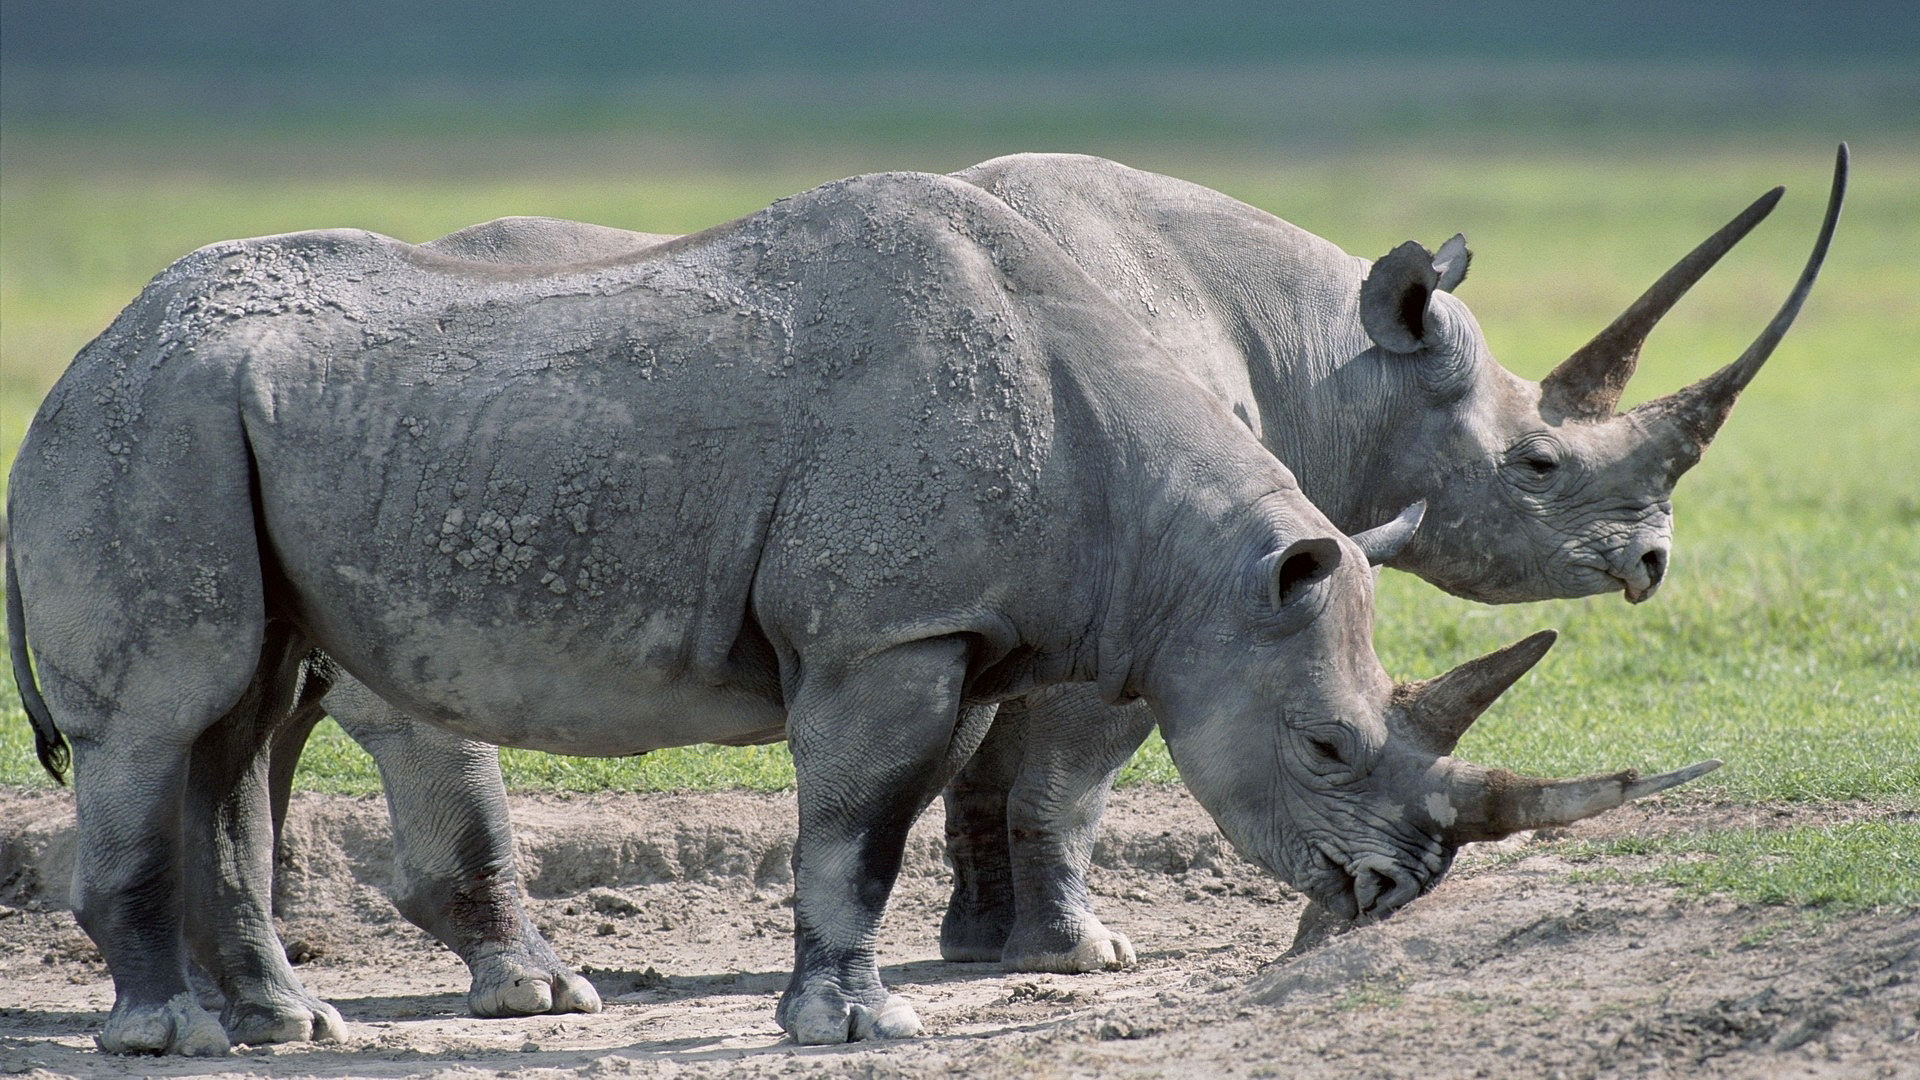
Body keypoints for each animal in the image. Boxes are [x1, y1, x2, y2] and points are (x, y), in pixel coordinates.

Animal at [0, 170, 1712, 1053]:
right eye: (1329, 750)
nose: (1395, 888)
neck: (1178, 544)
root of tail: (83, 353)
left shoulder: (956, 626)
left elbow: (899, 819)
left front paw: (872, 994)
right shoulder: (886, 633)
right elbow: (860, 825)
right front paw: (858, 1026)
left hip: (231, 424)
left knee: (243, 720)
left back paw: (289, 1028)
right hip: (150, 422)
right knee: (170, 717)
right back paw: (173, 1037)